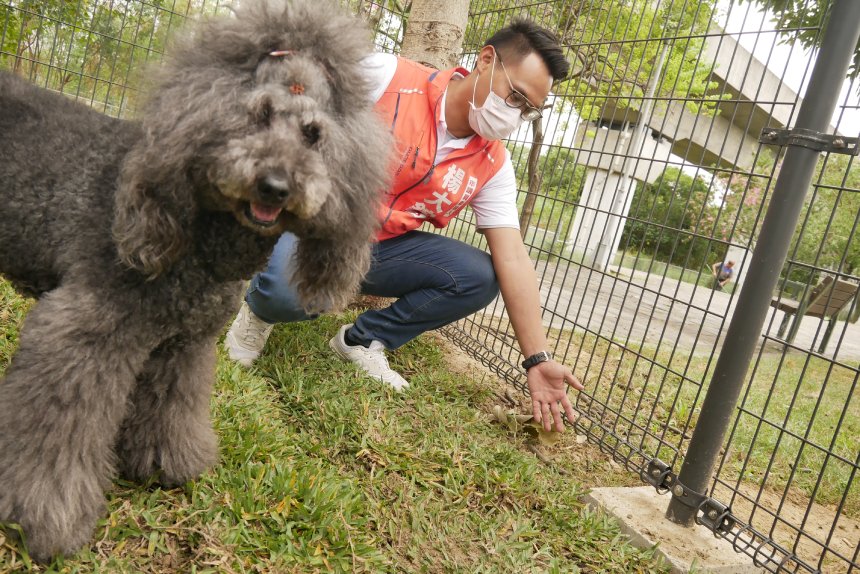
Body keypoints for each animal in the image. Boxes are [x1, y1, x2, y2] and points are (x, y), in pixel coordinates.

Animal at [0, 0, 390, 564]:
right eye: (257, 116)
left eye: (313, 136)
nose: (276, 185)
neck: (200, 239)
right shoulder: (82, 335)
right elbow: (57, 434)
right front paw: (42, 519)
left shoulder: (183, 343)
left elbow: (172, 408)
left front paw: (169, 464)